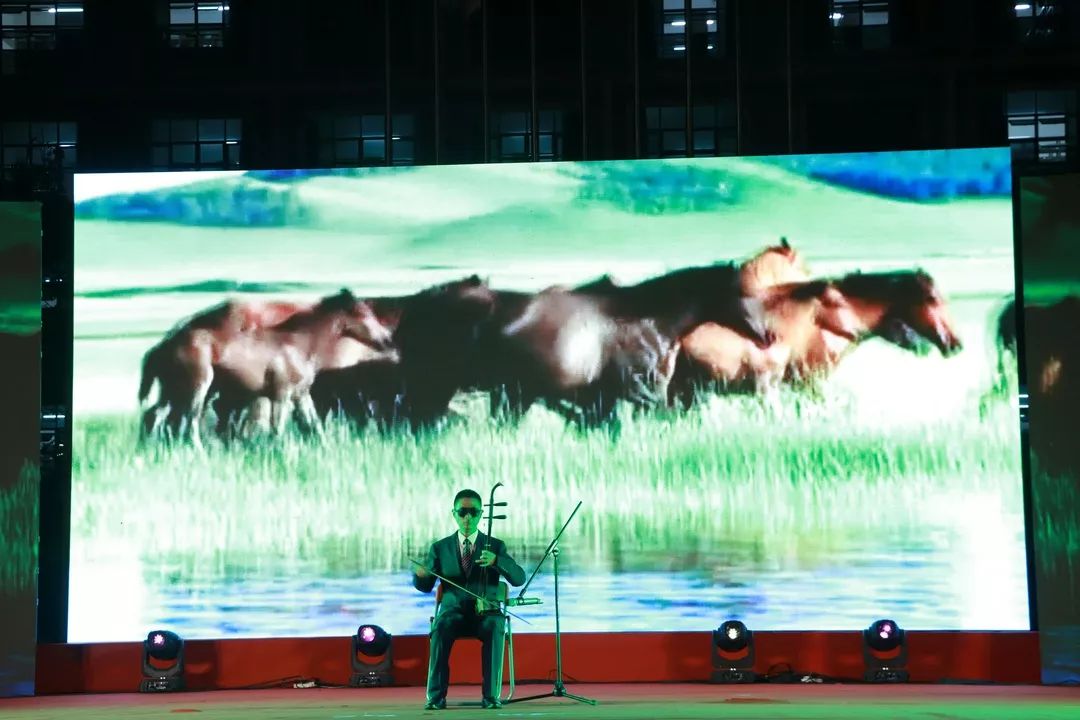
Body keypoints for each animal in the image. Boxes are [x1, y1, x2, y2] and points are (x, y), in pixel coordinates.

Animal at [138, 290, 393, 448]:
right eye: (363, 314)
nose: (387, 339)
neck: (299, 344)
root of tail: (163, 345)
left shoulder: (301, 395)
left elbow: (313, 426)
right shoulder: (281, 393)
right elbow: (277, 428)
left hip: (174, 390)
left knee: (156, 416)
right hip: (199, 385)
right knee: (189, 421)